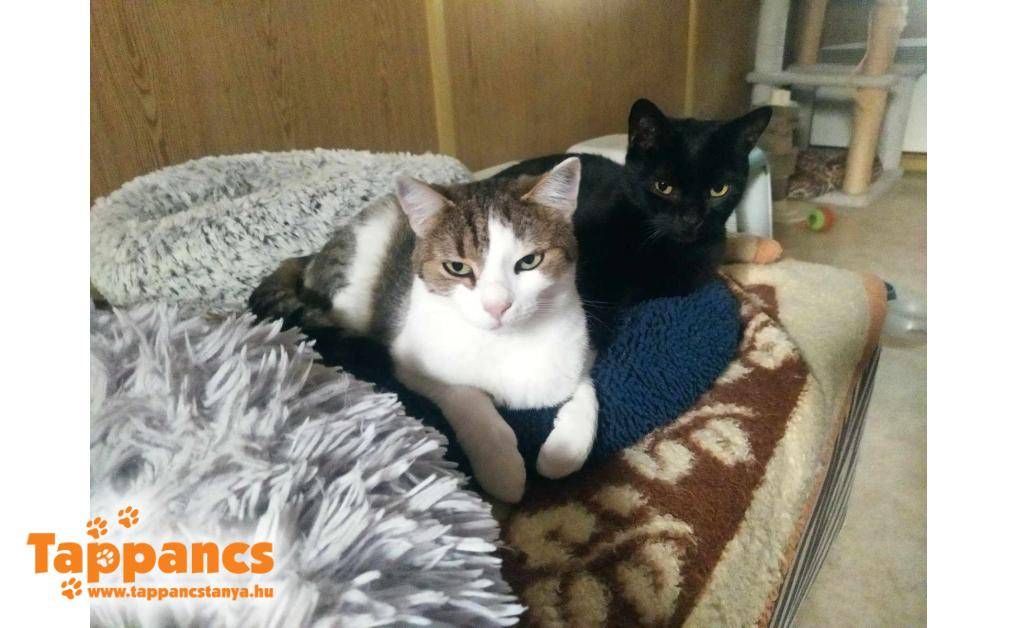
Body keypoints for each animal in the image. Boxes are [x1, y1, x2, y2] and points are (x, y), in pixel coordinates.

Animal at [249, 158, 597, 503]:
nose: (497, 306)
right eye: (457, 268)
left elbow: (588, 393)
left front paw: (563, 450)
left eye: (529, 261)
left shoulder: (579, 352)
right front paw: (502, 464)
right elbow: (468, 398)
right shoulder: (412, 364)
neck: (507, 342)